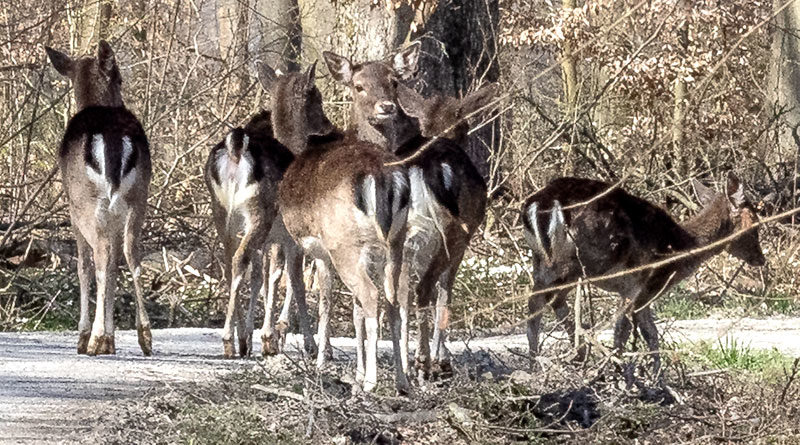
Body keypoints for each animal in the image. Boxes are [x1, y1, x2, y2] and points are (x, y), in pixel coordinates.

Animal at [45, 40, 153, 356]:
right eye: (120, 79)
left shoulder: (72, 209)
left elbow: (83, 266)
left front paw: (88, 337)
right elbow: (116, 267)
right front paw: (111, 339)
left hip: (87, 203)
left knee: (100, 257)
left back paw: (92, 339)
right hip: (137, 198)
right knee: (132, 255)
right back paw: (145, 337)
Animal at [203, 109, 316, 360]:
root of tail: (236, 148)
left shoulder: (268, 242)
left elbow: (260, 279)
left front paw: (262, 337)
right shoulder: (291, 239)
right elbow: (293, 281)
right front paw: (308, 345)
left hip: (222, 214)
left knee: (231, 265)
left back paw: (240, 340)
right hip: (257, 213)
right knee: (240, 260)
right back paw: (232, 340)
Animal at [256, 62, 412, 392]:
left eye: (316, 95)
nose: (328, 127)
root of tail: (382, 176)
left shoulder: (316, 248)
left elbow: (321, 297)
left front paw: (320, 358)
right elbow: (351, 310)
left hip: (345, 244)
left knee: (371, 296)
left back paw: (372, 382)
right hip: (394, 243)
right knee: (394, 300)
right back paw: (402, 381)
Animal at [320, 42, 494, 378]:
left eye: (393, 82)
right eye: (358, 86)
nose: (386, 107)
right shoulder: (464, 235)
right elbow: (444, 291)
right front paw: (440, 358)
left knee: (394, 293)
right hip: (449, 232)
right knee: (424, 289)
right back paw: (426, 362)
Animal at [520, 173, 764, 374]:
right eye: (755, 224)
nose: (760, 259)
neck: (678, 252)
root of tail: (543, 204)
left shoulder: (643, 293)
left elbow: (649, 332)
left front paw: (655, 376)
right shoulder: (641, 283)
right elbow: (626, 328)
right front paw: (625, 373)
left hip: (541, 260)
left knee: (538, 304)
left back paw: (540, 364)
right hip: (580, 261)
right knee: (549, 299)